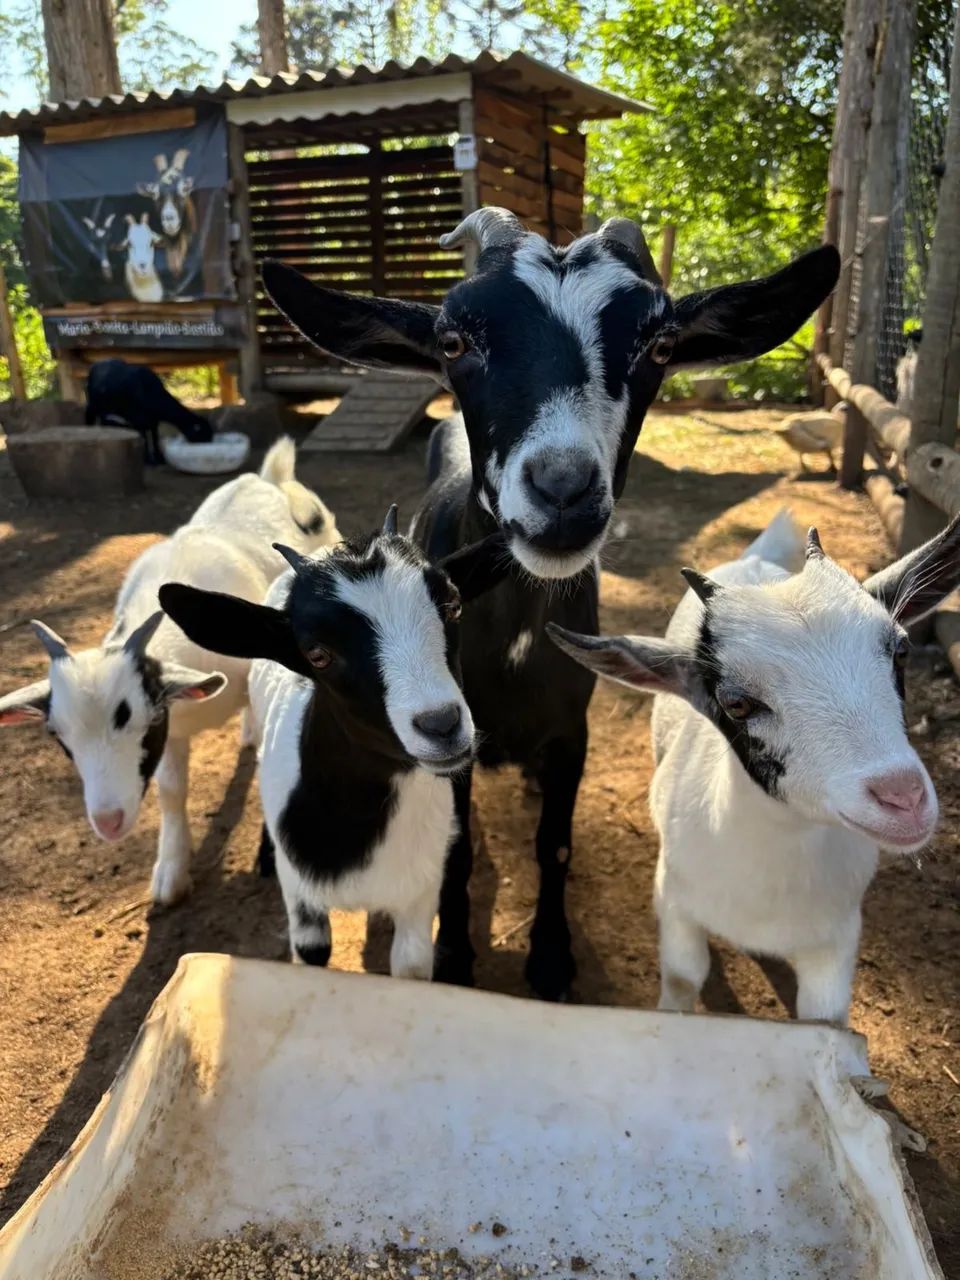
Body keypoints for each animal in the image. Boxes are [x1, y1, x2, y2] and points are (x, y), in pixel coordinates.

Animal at [0, 438, 339, 907]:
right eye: (57, 735)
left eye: (138, 719)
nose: (108, 821)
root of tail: (267, 478)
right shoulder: (174, 727)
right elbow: (172, 792)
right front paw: (172, 870)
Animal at [85, 358, 213, 466]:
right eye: (204, 434)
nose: (209, 443)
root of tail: (98, 363)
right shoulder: (138, 420)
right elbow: (144, 439)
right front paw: (147, 460)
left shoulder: (153, 421)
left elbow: (155, 438)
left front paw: (159, 458)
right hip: (92, 405)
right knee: (90, 418)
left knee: (105, 421)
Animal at [159, 512, 507, 978]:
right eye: (317, 654)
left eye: (453, 606)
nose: (442, 725)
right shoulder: (302, 901)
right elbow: (312, 954)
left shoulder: (419, 896)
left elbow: (411, 968)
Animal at [261, 207, 840, 1000]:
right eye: (453, 341)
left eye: (659, 344)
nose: (563, 492)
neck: (508, 650)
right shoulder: (453, 742)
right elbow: (459, 847)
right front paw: (455, 955)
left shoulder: (573, 732)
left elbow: (556, 846)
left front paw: (552, 958)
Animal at [549, 509, 960, 1026]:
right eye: (737, 703)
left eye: (900, 651)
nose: (903, 798)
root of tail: (755, 561)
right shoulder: (675, 902)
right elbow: (682, 980)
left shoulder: (837, 939)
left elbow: (824, 1015)